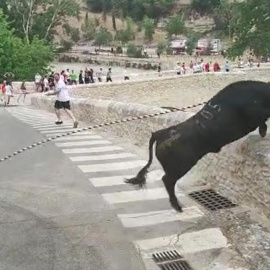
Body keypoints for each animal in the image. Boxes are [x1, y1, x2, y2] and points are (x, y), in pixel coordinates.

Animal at [125, 81, 270, 212]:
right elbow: (262, 119)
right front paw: (263, 132)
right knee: (167, 180)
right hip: (180, 166)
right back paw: (179, 207)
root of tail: (161, 133)